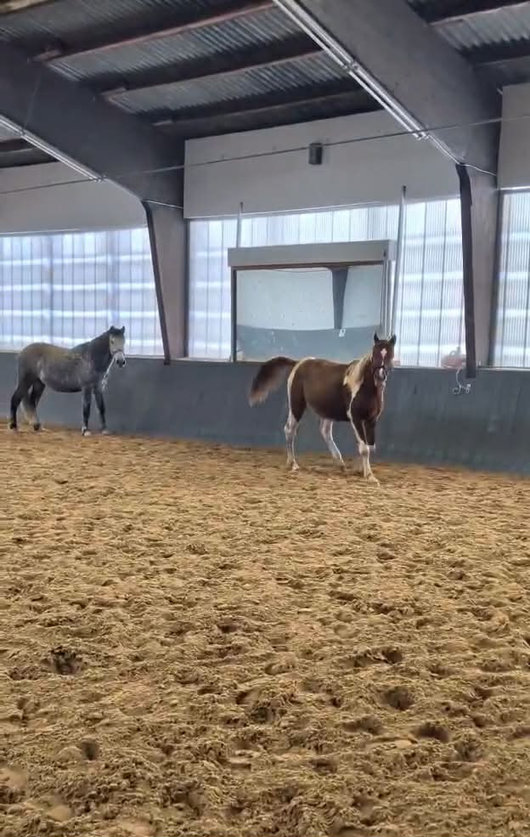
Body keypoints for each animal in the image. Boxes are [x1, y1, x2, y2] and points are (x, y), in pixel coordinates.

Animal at [248, 333, 396, 484]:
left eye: (390, 354)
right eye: (375, 353)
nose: (380, 376)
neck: (363, 387)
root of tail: (298, 363)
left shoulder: (372, 420)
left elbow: (370, 446)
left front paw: (361, 470)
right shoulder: (356, 418)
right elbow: (364, 447)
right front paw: (370, 476)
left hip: (327, 411)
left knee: (324, 432)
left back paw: (339, 463)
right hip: (296, 405)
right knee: (290, 430)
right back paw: (293, 464)